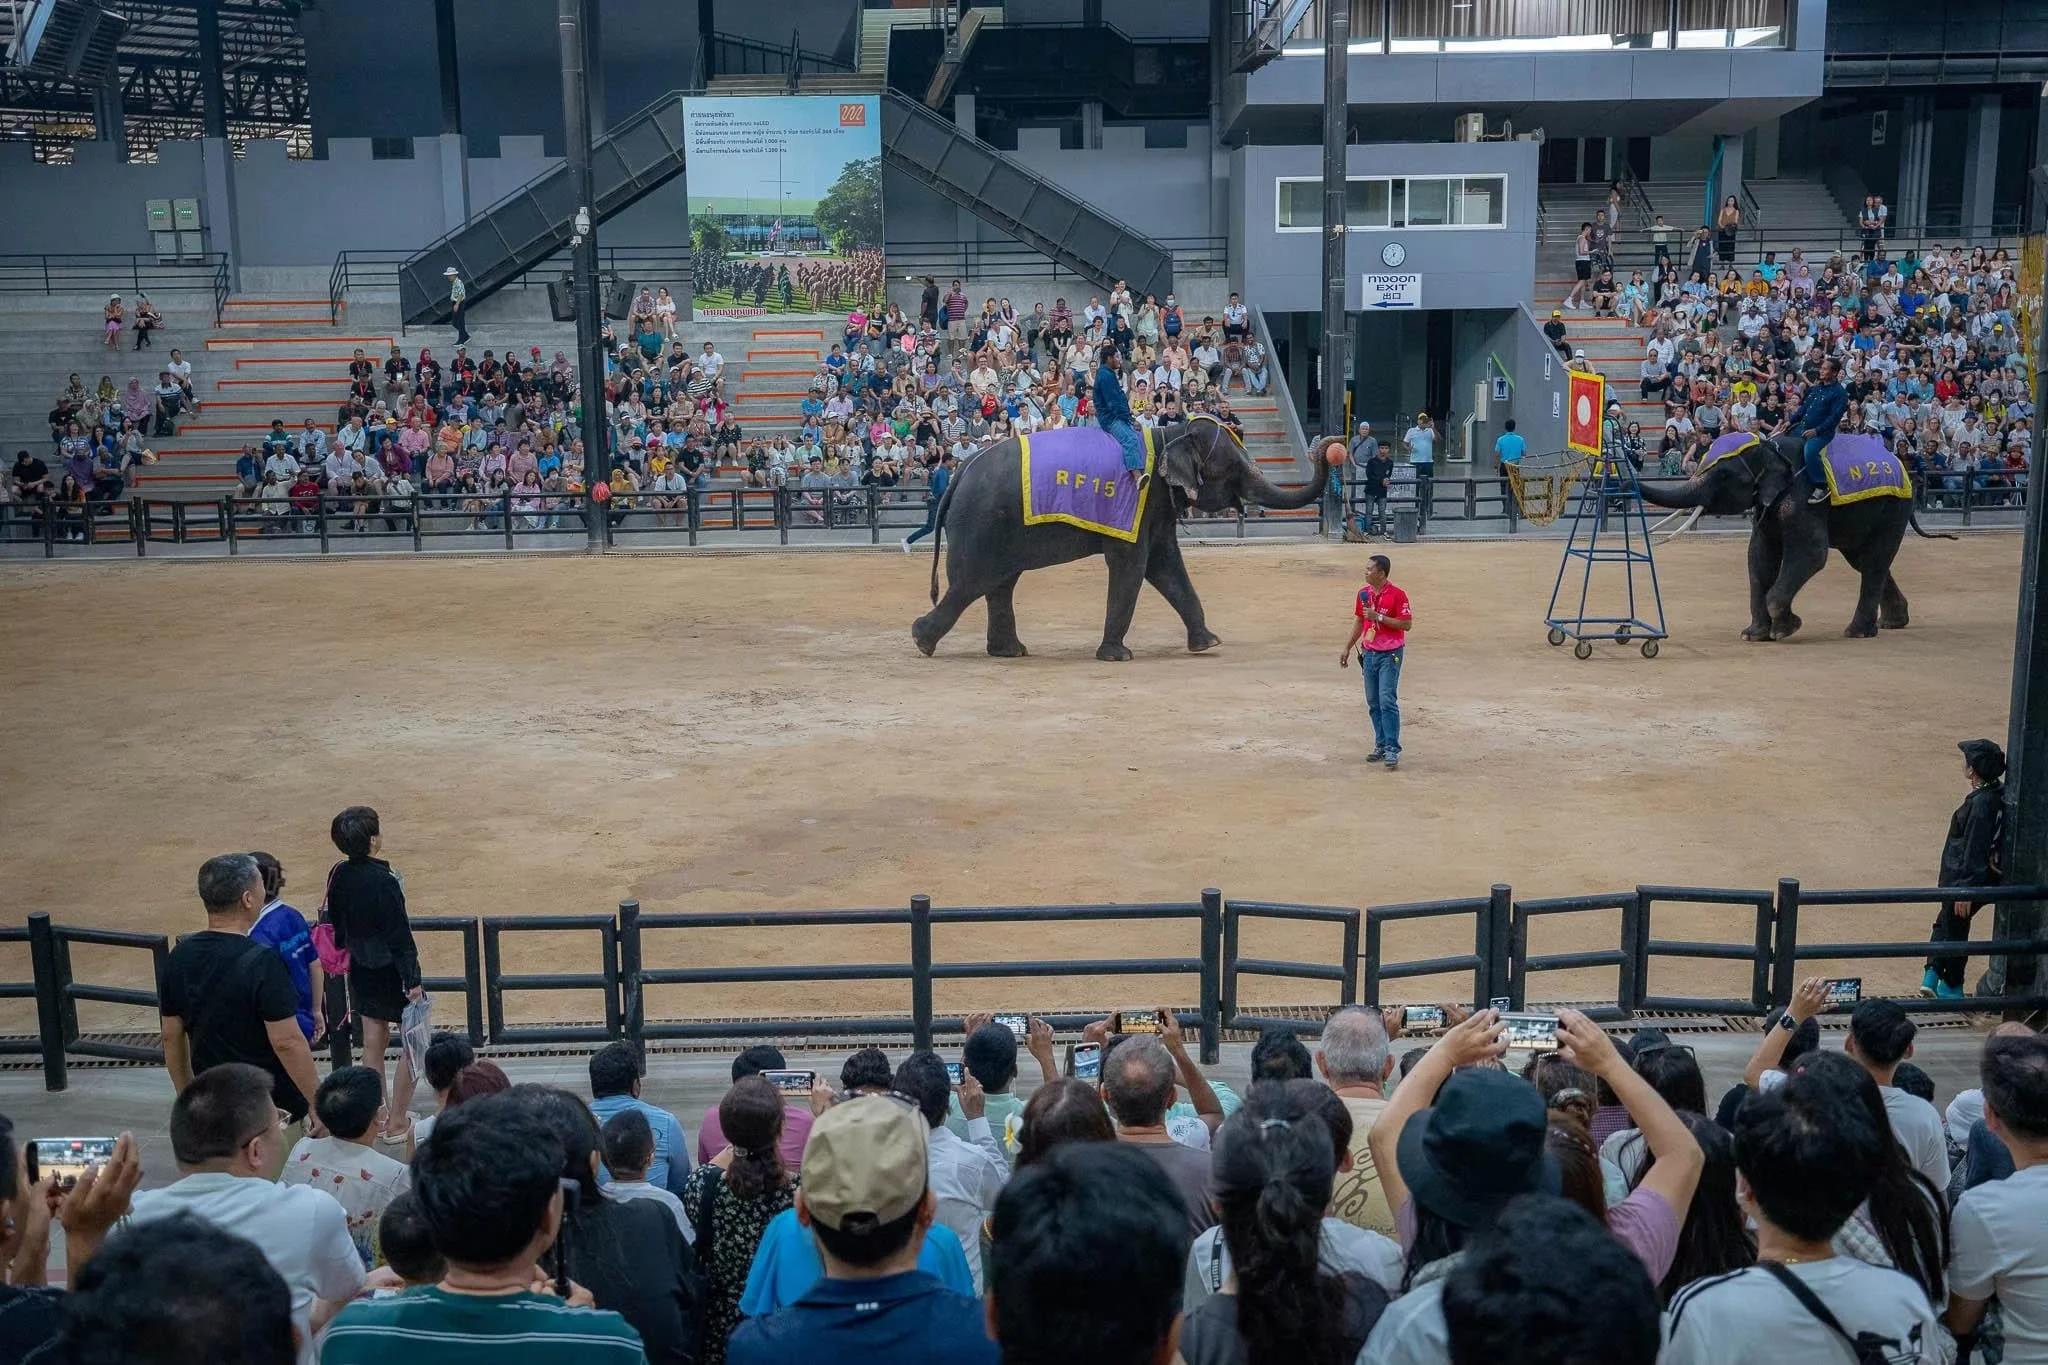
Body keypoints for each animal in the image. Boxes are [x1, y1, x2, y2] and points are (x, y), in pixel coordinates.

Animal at [912, 419, 1330, 660]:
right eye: (1233, 467)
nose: (1328, 445)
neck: (1169, 435)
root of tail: (957, 475)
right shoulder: (1140, 502)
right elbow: (1133, 565)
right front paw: (1118, 656)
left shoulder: (1156, 507)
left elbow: (1166, 566)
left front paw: (1208, 643)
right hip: (982, 524)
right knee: (970, 583)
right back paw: (922, 641)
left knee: (999, 584)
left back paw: (1009, 652)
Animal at [1638, 432, 1954, 641]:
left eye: (1724, 475)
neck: (1770, 448)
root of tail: (1900, 465)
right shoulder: (1768, 504)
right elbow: (1758, 556)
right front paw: (1752, 635)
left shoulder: (1803, 498)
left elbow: (1812, 553)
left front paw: (1786, 628)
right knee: (1864, 560)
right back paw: (1893, 622)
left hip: (1893, 508)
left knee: (1875, 560)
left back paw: (1857, 632)